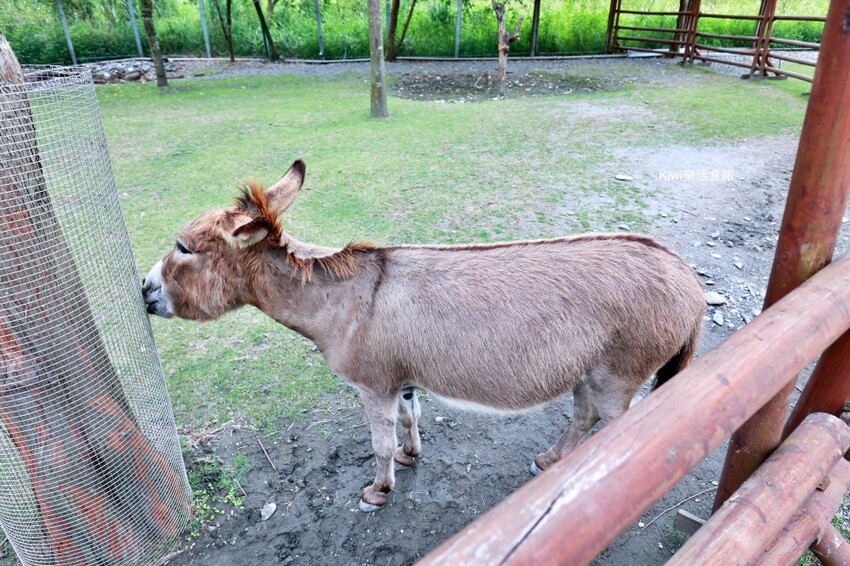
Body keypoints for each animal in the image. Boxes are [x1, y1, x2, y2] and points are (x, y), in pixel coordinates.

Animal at [142, 160, 705, 512]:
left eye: (183, 248)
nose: (143, 289)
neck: (343, 301)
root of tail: (687, 277)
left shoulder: (373, 386)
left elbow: (379, 442)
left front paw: (378, 490)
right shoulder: (404, 380)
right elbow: (410, 420)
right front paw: (412, 456)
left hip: (618, 376)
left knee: (618, 427)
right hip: (592, 372)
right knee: (584, 417)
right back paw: (551, 462)